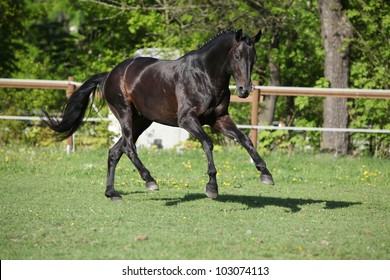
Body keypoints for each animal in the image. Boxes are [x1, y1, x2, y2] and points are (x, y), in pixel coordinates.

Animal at [42, 28, 274, 200]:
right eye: (237, 55)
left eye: (254, 58)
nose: (244, 90)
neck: (204, 75)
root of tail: (110, 74)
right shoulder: (188, 120)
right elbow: (208, 143)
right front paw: (212, 187)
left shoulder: (219, 119)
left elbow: (245, 139)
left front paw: (266, 174)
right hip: (125, 114)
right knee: (128, 147)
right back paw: (150, 180)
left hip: (142, 121)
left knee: (115, 151)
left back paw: (112, 193)